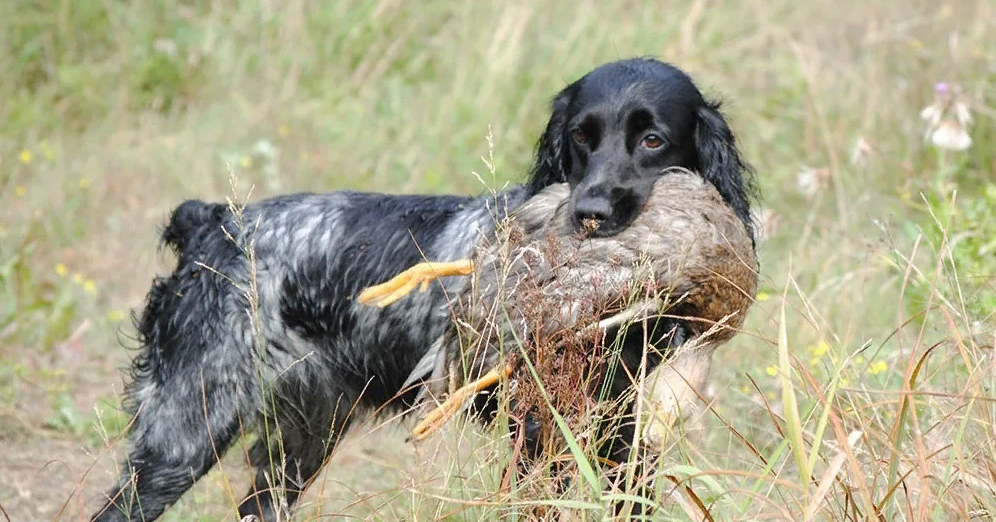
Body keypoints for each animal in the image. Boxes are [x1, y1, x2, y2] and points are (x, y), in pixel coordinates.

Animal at [91, 58, 756, 520]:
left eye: (652, 139)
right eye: (580, 135)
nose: (588, 213)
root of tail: (212, 223)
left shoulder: (625, 440)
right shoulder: (540, 437)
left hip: (303, 439)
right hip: (185, 432)